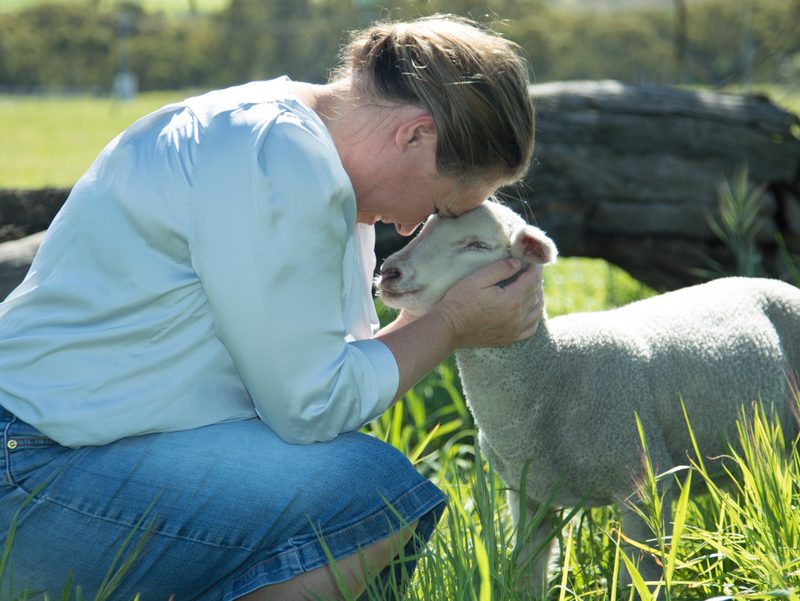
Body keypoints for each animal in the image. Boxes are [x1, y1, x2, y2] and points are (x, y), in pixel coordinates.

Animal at [378, 200, 800, 596]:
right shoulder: (527, 496)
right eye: (424, 228)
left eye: (477, 245)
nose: (390, 272)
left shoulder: (645, 485)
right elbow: (527, 575)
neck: (551, 372)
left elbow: (642, 578)